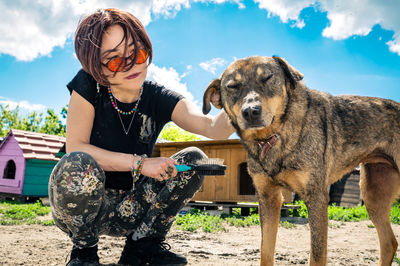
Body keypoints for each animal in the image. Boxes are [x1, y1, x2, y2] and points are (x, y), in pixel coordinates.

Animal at [203, 55, 400, 264]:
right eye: (233, 86)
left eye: (267, 77)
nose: (250, 111)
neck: (274, 136)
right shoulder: (268, 197)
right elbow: (265, 251)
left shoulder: (317, 198)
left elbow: (317, 255)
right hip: (373, 195)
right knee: (389, 243)